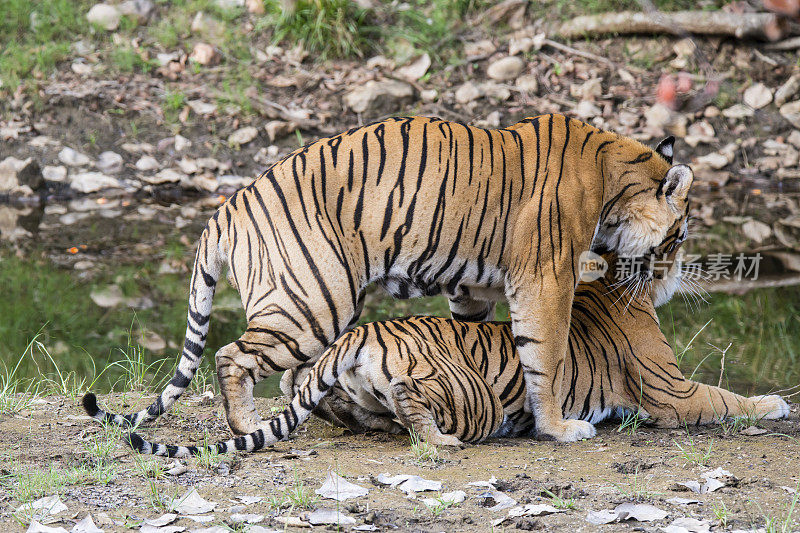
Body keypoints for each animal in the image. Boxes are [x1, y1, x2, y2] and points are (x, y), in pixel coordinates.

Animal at [83, 114, 692, 442]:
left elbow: (489, 340)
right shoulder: (546, 280)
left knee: (289, 373)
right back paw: (246, 426)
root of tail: (228, 205)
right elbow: (549, 356)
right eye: (680, 237)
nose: (672, 282)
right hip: (313, 301)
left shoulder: (473, 285)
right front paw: (561, 427)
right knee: (234, 356)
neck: (614, 181)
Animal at [109, 216, 792, 458]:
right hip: (471, 396)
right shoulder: (672, 390)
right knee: (415, 404)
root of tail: (354, 341)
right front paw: (775, 404)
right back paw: (440, 439)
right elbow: (729, 398)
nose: (685, 266)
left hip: (339, 382)